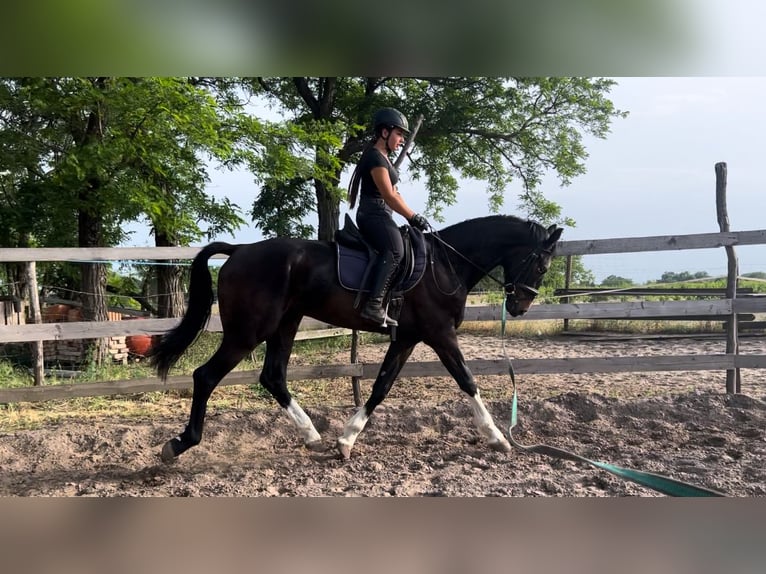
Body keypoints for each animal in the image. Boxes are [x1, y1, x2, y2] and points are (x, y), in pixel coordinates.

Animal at [149, 215, 563, 462]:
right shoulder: (440, 334)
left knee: (273, 377)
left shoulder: (406, 338)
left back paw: (312, 435)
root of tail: (240, 250)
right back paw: (181, 443)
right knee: (206, 376)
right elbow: (468, 381)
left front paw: (346, 439)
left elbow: (381, 387)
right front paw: (497, 438)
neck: (445, 266)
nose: (520, 305)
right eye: (542, 265)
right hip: (249, 332)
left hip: (286, 324)